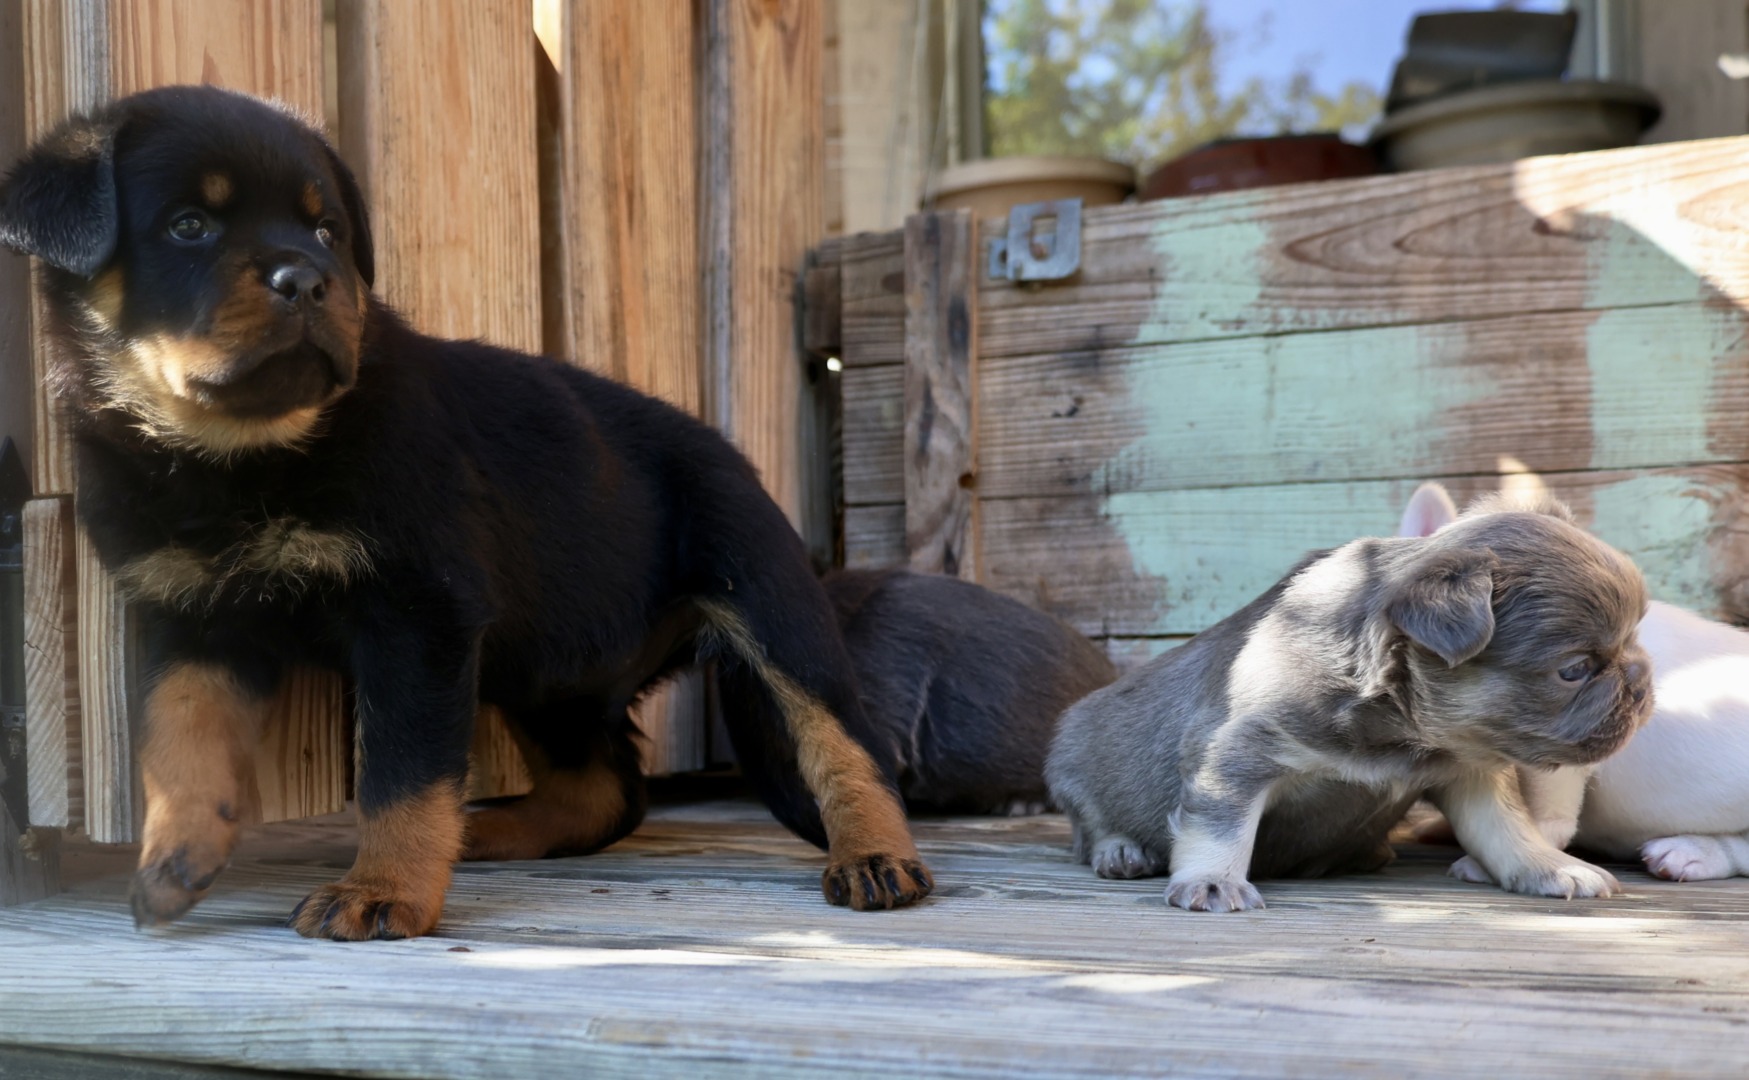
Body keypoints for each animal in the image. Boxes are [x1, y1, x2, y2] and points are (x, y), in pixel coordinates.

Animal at [0, 85, 931, 939]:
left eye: (327, 232)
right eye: (190, 226)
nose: (309, 279)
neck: (241, 456)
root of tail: (722, 441)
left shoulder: (419, 612)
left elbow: (401, 772)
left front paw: (383, 891)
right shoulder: (191, 618)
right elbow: (180, 737)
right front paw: (173, 861)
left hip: (766, 596)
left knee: (842, 742)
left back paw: (874, 857)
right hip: (548, 666)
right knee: (605, 790)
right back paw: (488, 828)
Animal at [1045, 493, 1654, 911]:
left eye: (1635, 637)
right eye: (1573, 670)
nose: (1643, 680)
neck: (1400, 728)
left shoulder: (1472, 773)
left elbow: (1507, 832)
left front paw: (1551, 867)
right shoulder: (1240, 754)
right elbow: (1221, 825)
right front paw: (1213, 880)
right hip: (1073, 756)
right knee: (1090, 825)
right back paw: (1121, 851)